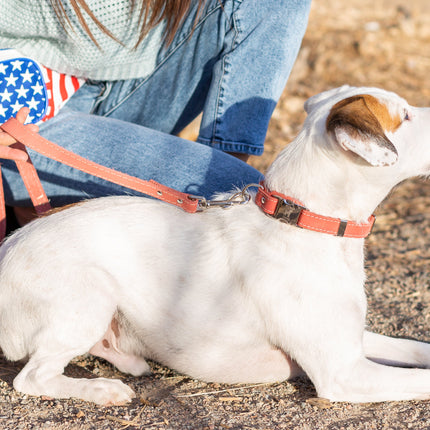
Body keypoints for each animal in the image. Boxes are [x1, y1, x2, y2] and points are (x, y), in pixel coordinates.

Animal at [0, 85, 430, 404]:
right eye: (405, 116)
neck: (305, 224)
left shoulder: (353, 344)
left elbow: (415, 349)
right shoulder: (343, 372)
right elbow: (421, 380)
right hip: (89, 296)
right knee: (33, 377)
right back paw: (102, 389)